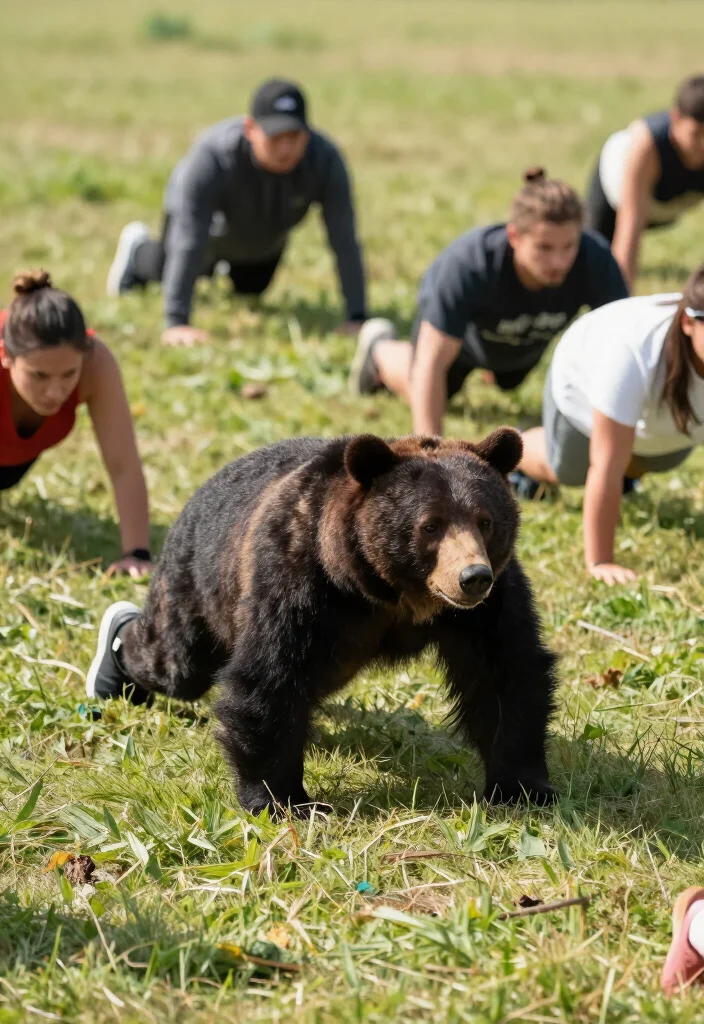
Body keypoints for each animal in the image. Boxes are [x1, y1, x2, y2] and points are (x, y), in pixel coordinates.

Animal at [90, 427, 558, 815]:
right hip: (200, 587)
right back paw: (116, 662)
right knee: (176, 662)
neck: (390, 592)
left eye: (486, 520)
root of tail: (199, 490)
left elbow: (507, 675)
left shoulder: (488, 608)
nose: (472, 577)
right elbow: (270, 678)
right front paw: (282, 800)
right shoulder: (300, 576)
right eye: (431, 525)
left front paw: (523, 788)